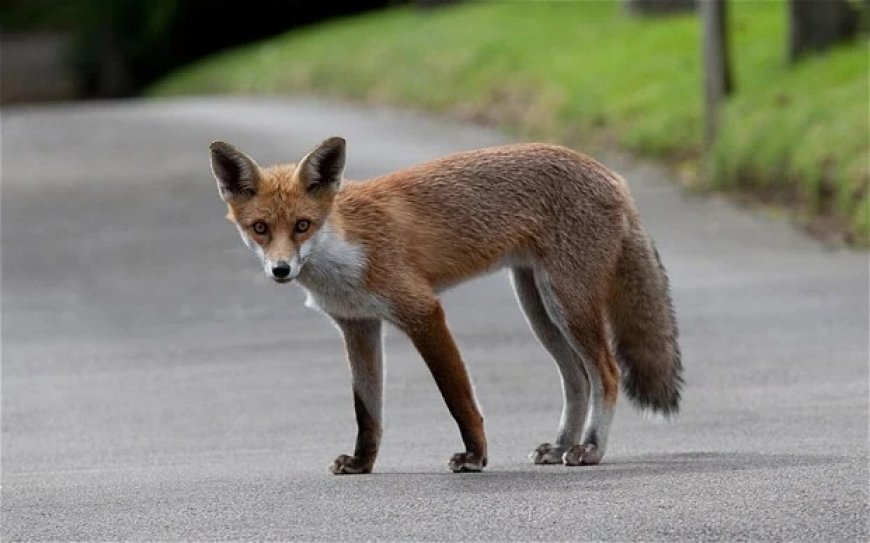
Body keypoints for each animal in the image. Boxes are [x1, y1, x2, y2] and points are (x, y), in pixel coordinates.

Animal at [209, 136, 682, 474]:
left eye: (303, 226)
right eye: (260, 228)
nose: (281, 270)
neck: (344, 250)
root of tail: (611, 174)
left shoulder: (423, 310)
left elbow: (457, 397)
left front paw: (475, 457)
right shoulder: (358, 325)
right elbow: (367, 410)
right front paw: (362, 463)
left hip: (568, 303)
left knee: (606, 372)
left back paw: (590, 449)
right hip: (539, 309)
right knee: (576, 378)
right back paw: (563, 445)